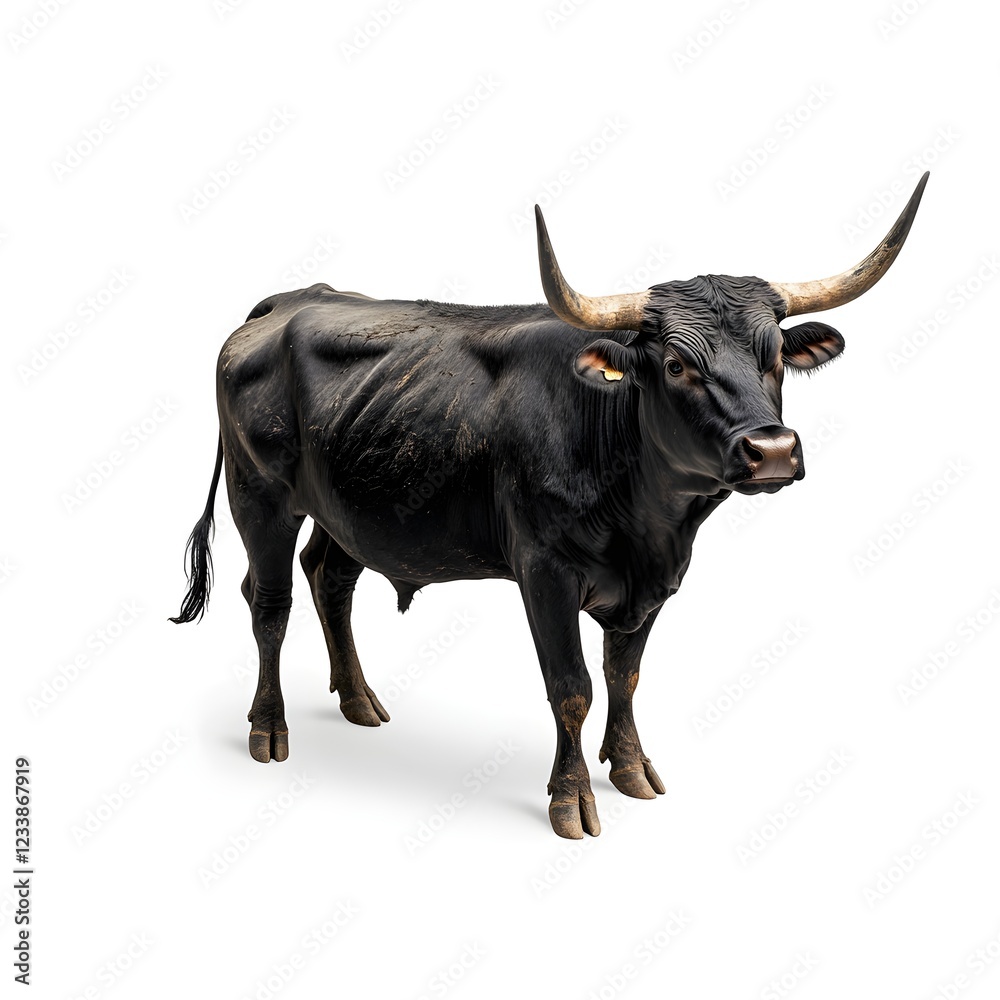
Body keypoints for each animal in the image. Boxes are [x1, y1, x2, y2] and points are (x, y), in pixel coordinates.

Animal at [172, 173, 928, 838]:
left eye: (774, 358)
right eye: (676, 364)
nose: (771, 450)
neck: (651, 525)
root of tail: (294, 299)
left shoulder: (655, 582)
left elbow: (625, 675)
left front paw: (630, 768)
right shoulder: (545, 571)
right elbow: (572, 687)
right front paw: (573, 800)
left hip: (351, 505)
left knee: (329, 579)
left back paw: (359, 700)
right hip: (259, 496)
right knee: (268, 603)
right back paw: (269, 728)